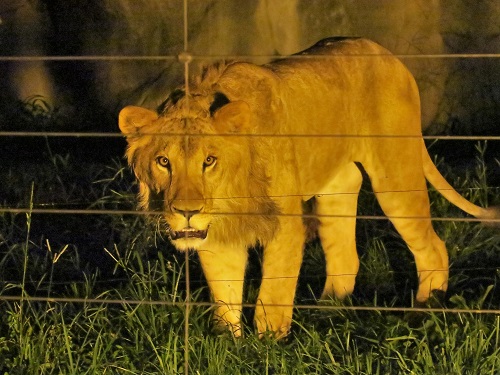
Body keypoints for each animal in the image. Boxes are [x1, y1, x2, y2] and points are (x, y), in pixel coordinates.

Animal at [118, 37, 496, 338]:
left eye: (209, 161)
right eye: (163, 162)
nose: (186, 212)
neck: (231, 195)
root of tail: (388, 54)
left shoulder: (284, 225)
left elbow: (274, 289)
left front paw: (268, 344)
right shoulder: (217, 235)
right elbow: (224, 291)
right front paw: (228, 344)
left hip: (395, 176)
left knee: (434, 247)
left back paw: (425, 308)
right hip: (336, 191)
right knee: (345, 255)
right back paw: (328, 311)